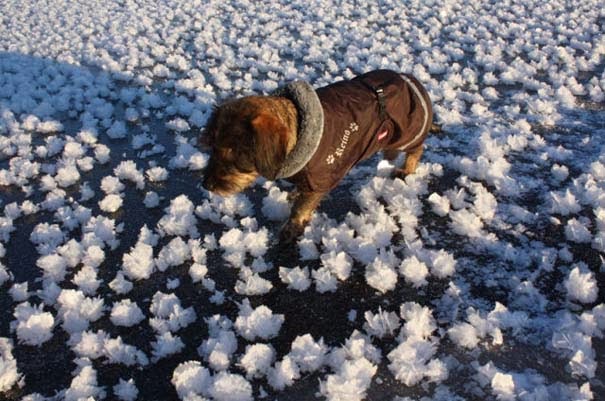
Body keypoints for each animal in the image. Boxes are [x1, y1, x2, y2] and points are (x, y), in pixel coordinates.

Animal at [201, 69, 436, 242]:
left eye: (236, 153)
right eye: (213, 147)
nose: (206, 185)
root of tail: (411, 80)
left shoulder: (321, 181)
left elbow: (300, 210)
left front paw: (291, 230)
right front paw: (296, 193)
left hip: (407, 133)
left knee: (418, 148)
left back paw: (407, 168)